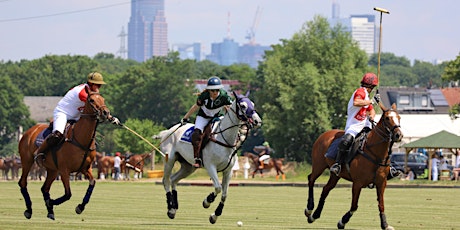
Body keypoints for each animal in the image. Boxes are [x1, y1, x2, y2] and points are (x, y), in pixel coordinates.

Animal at [18, 87, 112, 220]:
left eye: (103, 99)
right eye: (92, 100)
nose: (106, 113)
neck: (80, 139)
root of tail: (29, 131)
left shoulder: (85, 168)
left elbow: (92, 183)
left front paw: (80, 207)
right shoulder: (64, 170)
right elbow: (68, 194)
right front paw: (51, 202)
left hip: (52, 169)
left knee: (44, 188)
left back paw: (50, 212)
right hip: (27, 160)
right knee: (23, 182)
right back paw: (29, 210)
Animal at [157, 91, 260, 223]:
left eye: (253, 103)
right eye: (242, 106)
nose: (257, 121)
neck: (224, 138)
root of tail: (166, 132)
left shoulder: (228, 170)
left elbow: (225, 194)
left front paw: (214, 215)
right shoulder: (210, 166)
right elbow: (218, 187)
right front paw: (207, 201)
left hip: (189, 166)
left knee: (174, 179)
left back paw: (174, 207)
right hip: (169, 160)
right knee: (165, 181)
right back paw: (170, 209)